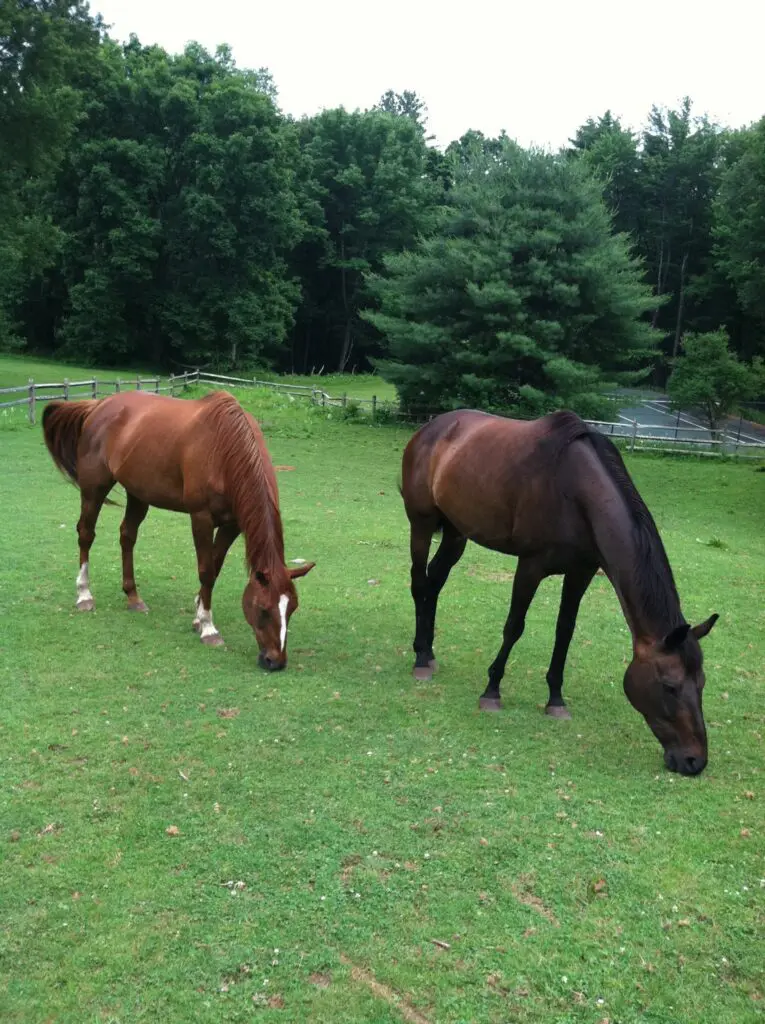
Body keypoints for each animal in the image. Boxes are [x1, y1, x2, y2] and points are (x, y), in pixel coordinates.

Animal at [42, 389, 315, 670]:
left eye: (292, 608)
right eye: (262, 609)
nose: (275, 661)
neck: (225, 447)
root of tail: (99, 405)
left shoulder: (232, 524)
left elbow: (215, 567)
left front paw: (198, 614)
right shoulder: (201, 518)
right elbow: (206, 571)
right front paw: (208, 628)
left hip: (138, 494)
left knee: (127, 536)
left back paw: (133, 597)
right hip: (93, 489)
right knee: (86, 534)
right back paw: (84, 595)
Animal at [401, 409, 718, 775]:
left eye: (702, 683)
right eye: (669, 686)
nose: (694, 761)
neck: (576, 492)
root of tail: (432, 427)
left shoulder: (581, 573)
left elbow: (564, 632)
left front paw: (555, 699)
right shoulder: (530, 566)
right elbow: (514, 627)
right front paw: (492, 691)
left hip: (456, 532)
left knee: (435, 581)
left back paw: (430, 652)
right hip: (422, 523)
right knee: (419, 582)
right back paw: (420, 658)